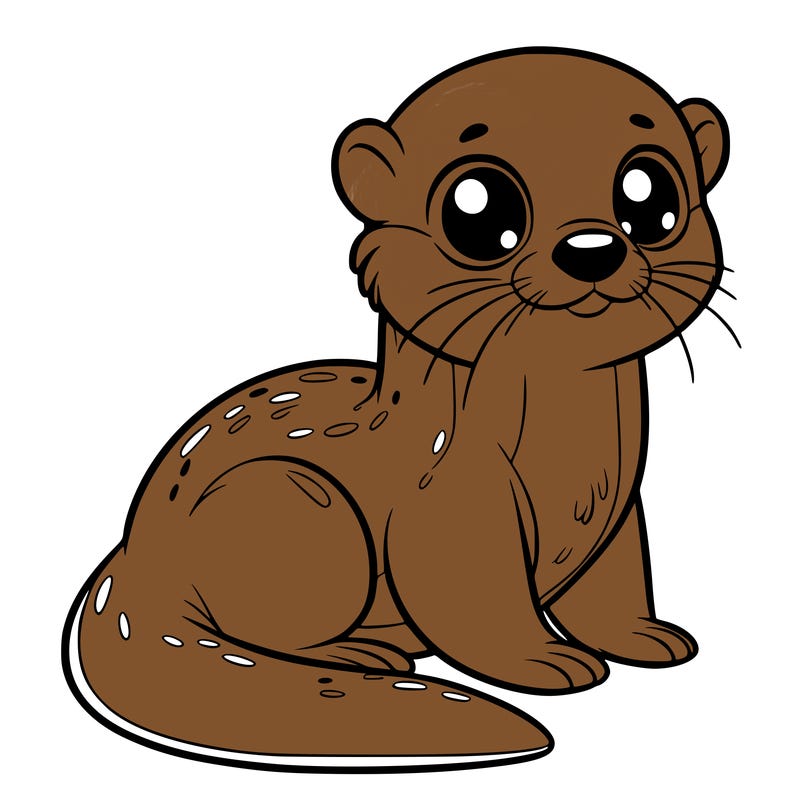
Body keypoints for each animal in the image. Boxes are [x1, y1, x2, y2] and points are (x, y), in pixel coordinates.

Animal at [62, 48, 729, 772]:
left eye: (650, 195)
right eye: (478, 208)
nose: (592, 250)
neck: (574, 463)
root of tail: (133, 554)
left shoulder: (619, 511)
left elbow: (612, 586)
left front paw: (644, 636)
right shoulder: (451, 503)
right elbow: (476, 605)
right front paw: (545, 661)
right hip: (292, 501)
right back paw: (362, 653)